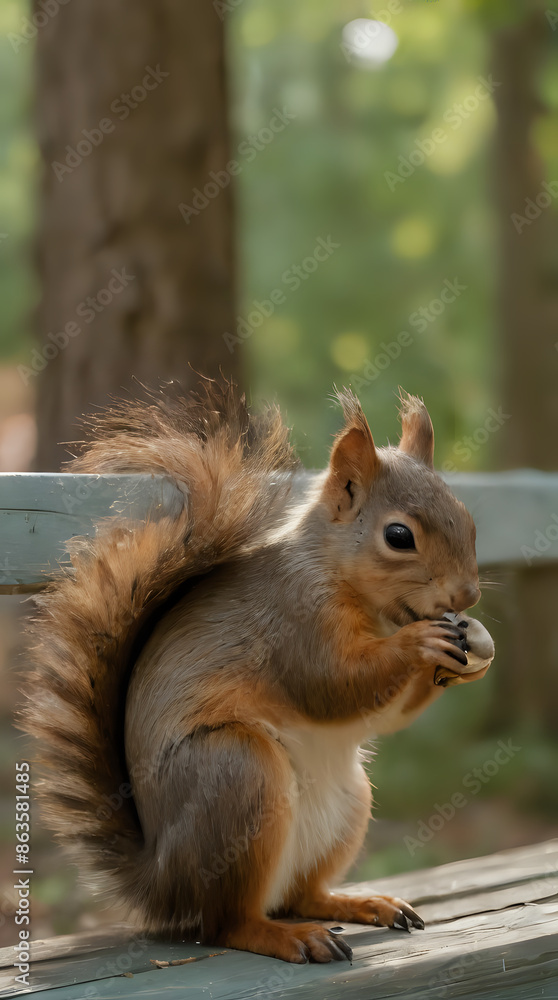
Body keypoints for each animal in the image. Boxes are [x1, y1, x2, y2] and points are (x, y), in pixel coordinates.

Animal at [20, 379, 494, 965]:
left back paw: (360, 904)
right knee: (228, 923)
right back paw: (287, 936)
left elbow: (382, 715)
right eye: (399, 536)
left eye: (468, 520)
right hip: (237, 774)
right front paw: (421, 644)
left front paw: (463, 661)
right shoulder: (292, 619)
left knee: (299, 895)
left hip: (349, 803)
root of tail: (161, 880)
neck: (337, 574)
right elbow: (331, 686)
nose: (467, 596)